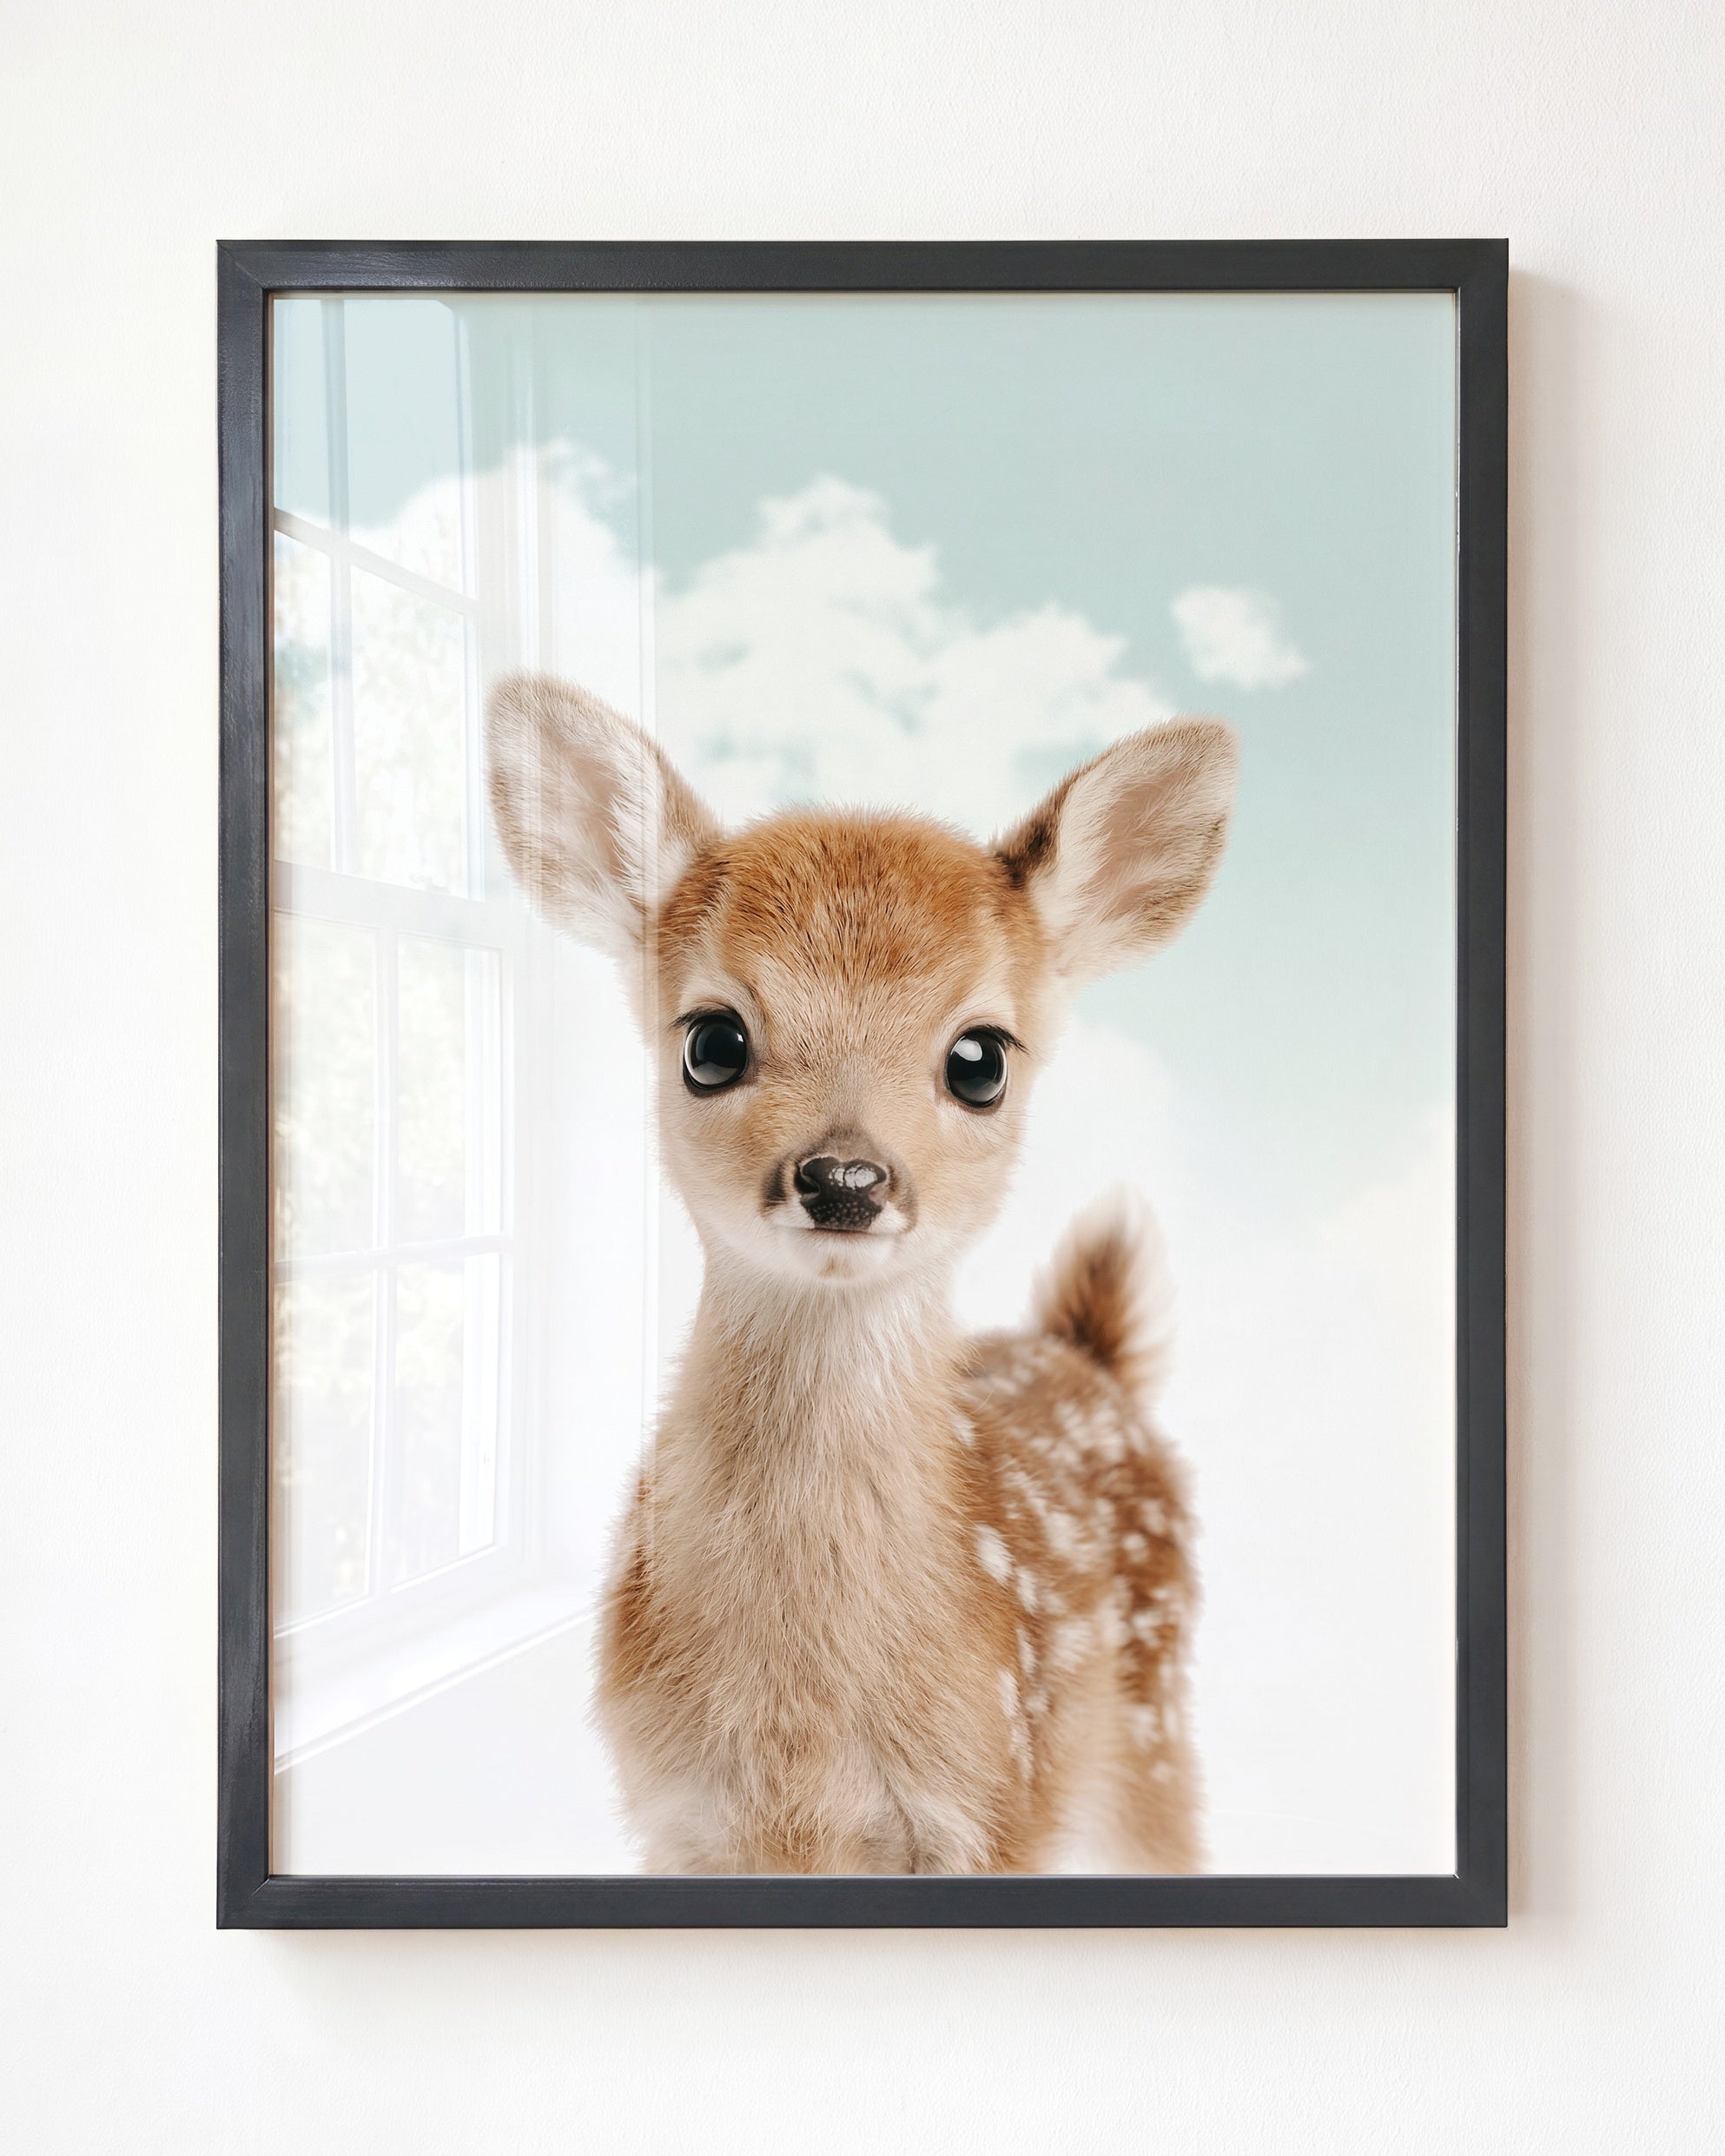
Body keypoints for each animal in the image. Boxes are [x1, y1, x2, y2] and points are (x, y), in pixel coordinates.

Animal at [486, 671, 1237, 1875]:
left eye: (980, 1058)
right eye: (711, 1041)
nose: (844, 1176)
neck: (802, 1737)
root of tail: (1088, 1354)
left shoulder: (995, 1802)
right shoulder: (676, 1817)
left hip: (1150, 1727)